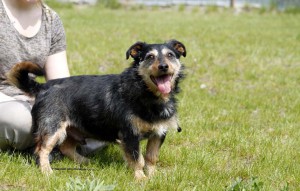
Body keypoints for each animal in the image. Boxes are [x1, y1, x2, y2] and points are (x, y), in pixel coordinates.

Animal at [6, 39, 185, 180]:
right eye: (149, 57)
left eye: (170, 55)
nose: (164, 66)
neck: (144, 92)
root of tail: (43, 87)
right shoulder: (130, 134)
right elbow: (137, 159)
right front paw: (141, 178)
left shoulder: (158, 133)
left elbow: (151, 157)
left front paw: (153, 175)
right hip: (52, 128)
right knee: (42, 150)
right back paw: (47, 171)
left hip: (73, 128)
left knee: (66, 147)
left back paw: (85, 162)